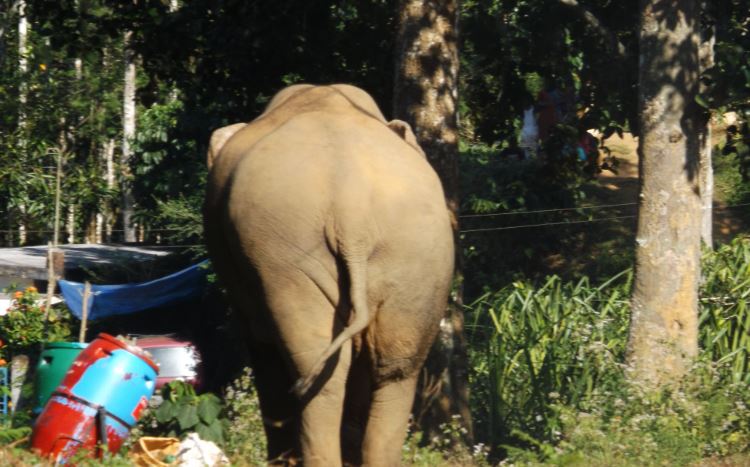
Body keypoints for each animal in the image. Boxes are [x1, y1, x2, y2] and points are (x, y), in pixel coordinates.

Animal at [203, 85, 456, 467]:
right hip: (417, 255)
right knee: (395, 368)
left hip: (285, 255)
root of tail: (352, 207)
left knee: (317, 369)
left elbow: (261, 347)